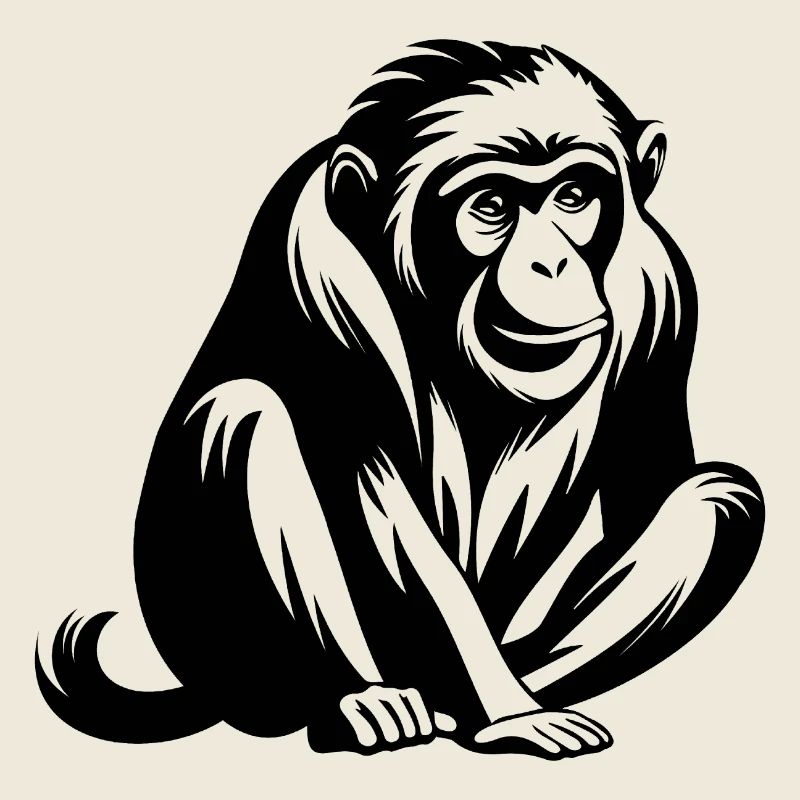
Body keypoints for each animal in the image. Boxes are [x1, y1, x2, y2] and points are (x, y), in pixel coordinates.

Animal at [36, 40, 764, 759]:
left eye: (574, 195)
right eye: (491, 206)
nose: (551, 264)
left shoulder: (661, 284)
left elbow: (657, 488)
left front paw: (513, 707)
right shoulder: (323, 275)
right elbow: (383, 497)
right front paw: (507, 715)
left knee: (721, 498)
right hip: (226, 655)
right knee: (242, 418)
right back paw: (359, 701)